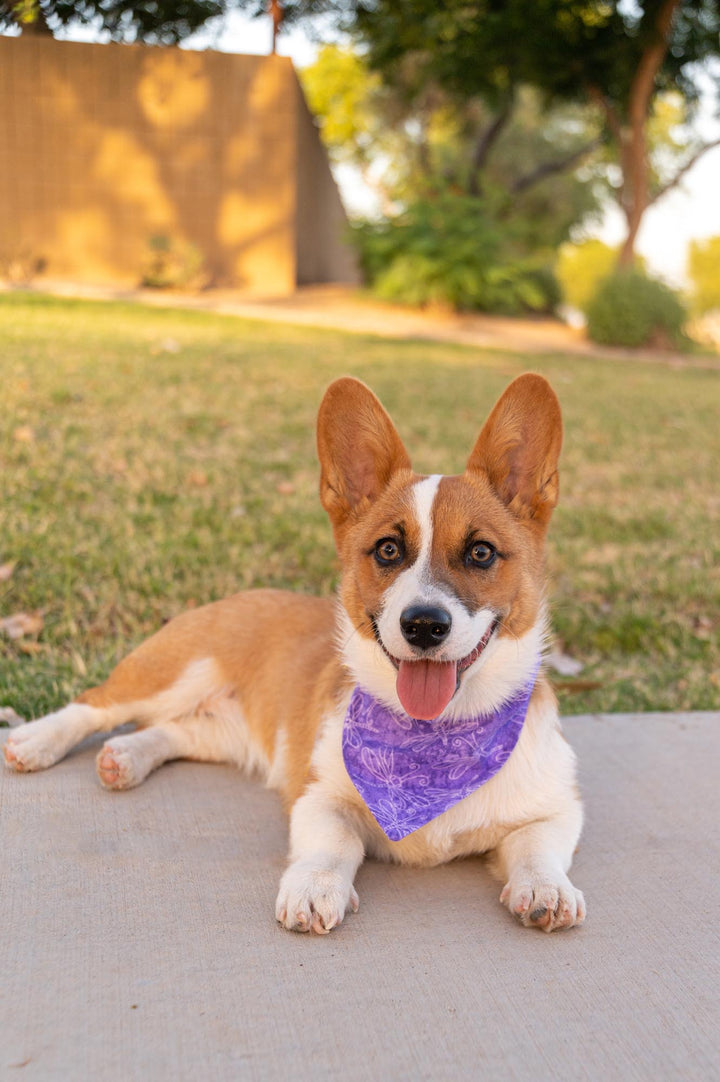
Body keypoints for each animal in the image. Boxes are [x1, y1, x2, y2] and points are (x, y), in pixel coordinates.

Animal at [2, 376, 584, 934]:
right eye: (388, 550)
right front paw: (314, 888)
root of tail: (234, 596)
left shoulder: (556, 810)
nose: (422, 626)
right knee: (98, 704)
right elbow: (332, 846)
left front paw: (547, 889)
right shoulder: (318, 796)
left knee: (175, 730)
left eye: (481, 552)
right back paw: (37, 740)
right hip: (175, 672)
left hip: (229, 732)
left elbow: (538, 847)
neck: (435, 737)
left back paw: (126, 756)